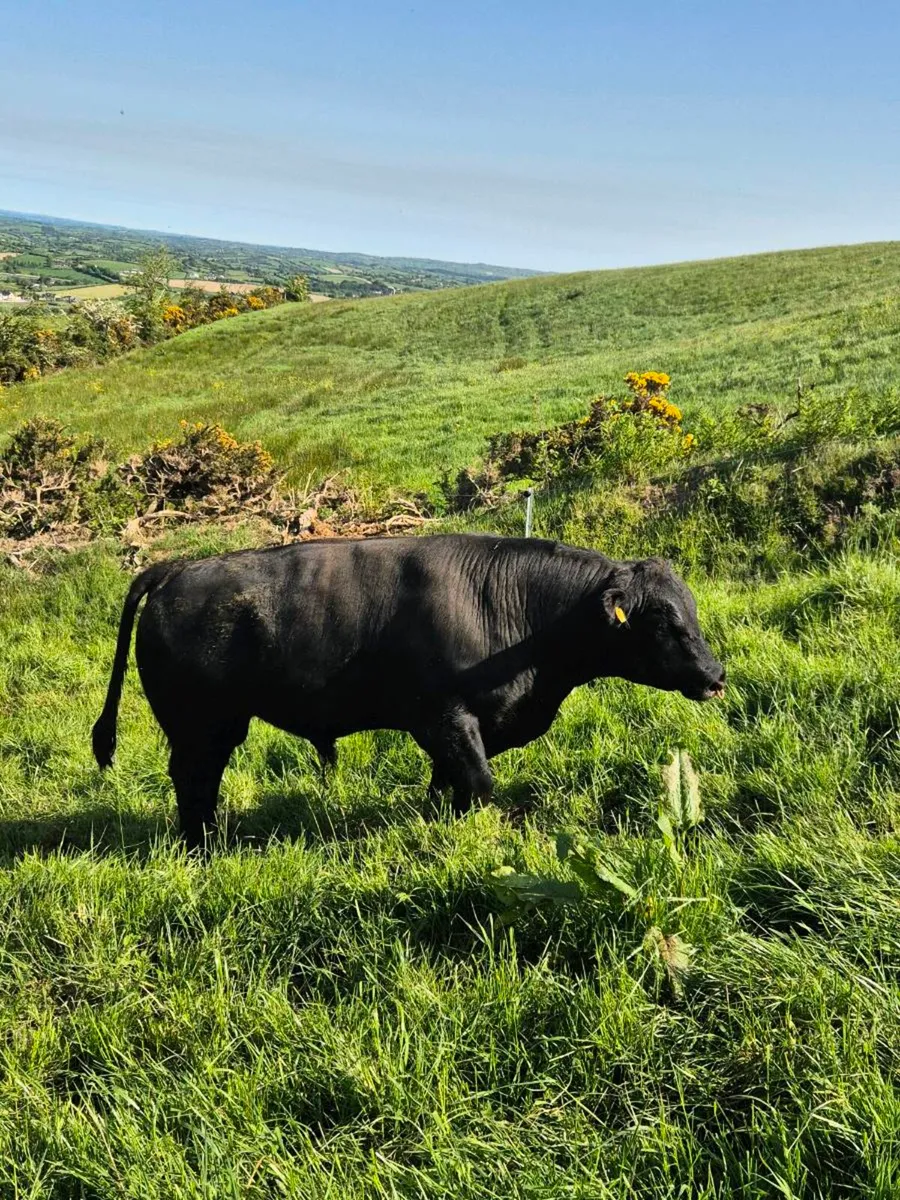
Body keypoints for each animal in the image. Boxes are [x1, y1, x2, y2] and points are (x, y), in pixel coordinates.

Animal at [92, 534, 725, 846]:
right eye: (663, 621)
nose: (716, 676)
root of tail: (175, 570)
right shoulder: (446, 718)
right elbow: (479, 786)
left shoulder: (456, 731)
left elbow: (447, 785)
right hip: (201, 726)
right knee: (193, 782)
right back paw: (202, 846)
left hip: (217, 727)